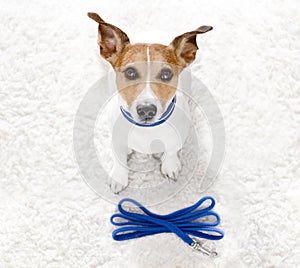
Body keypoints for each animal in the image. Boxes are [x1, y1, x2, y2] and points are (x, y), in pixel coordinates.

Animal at [88, 12, 212, 193]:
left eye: (166, 74)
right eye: (130, 73)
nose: (146, 110)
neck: (146, 130)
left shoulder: (179, 135)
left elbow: (171, 150)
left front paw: (170, 164)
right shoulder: (116, 138)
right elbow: (119, 156)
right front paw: (119, 176)